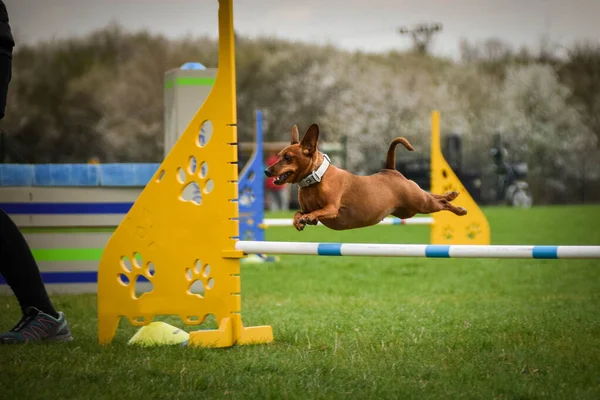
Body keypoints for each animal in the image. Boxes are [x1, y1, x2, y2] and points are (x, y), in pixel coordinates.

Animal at [264, 124, 466, 231]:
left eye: (287, 157)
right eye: (279, 155)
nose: (266, 171)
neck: (315, 180)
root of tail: (390, 170)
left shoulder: (332, 208)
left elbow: (317, 211)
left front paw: (308, 218)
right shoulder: (305, 207)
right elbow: (298, 213)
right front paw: (298, 221)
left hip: (420, 203)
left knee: (440, 203)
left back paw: (458, 208)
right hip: (409, 209)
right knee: (433, 195)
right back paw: (452, 194)